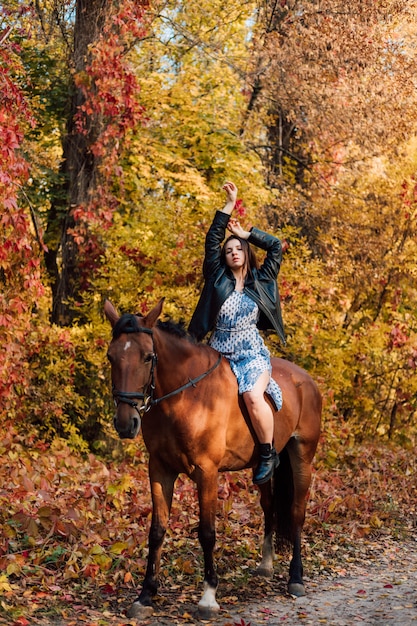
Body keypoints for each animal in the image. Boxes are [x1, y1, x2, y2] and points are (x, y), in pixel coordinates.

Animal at [104, 298, 322, 620]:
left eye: (148, 357)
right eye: (111, 356)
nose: (125, 422)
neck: (183, 397)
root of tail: (306, 379)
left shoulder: (206, 472)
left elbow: (207, 532)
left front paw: (208, 598)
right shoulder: (159, 469)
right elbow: (157, 531)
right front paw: (145, 596)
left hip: (302, 457)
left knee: (296, 511)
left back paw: (296, 578)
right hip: (264, 467)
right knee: (269, 507)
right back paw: (266, 565)